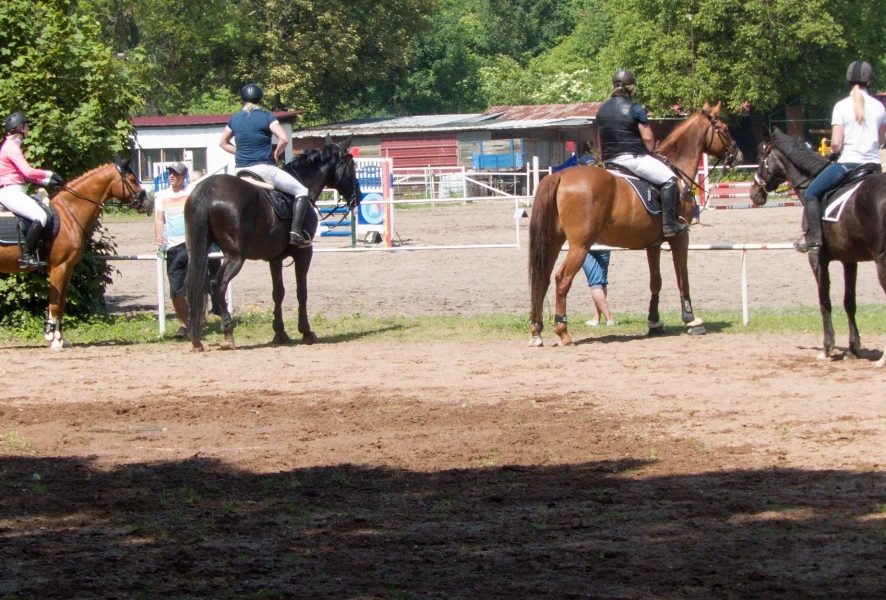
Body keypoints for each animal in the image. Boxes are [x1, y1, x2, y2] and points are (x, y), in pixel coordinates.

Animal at [0, 157, 149, 350]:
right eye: (131, 179)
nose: (148, 203)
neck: (68, 214)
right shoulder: (59, 267)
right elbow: (55, 303)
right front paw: (53, 338)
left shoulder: (68, 268)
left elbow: (61, 303)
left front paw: (61, 338)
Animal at [186, 136, 362, 352]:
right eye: (352, 165)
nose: (358, 196)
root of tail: (207, 190)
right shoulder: (304, 253)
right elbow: (301, 291)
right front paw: (306, 331)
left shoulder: (275, 258)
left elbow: (278, 292)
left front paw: (280, 332)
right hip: (235, 256)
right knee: (217, 285)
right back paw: (227, 331)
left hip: (198, 251)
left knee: (197, 287)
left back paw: (196, 338)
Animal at [528, 102, 744, 346]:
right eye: (724, 129)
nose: (738, 155)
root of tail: (560, 176)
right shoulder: (680, 237)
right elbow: (683, 278)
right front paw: (691, 320)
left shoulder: (654, 244)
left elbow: (656, 281)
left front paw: (654, 322)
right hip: (580, 245)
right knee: (562, 279)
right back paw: (563, 331)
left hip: (554, 241)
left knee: (542, 278)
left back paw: (536, 332)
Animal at [748, 127, 886, 366]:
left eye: (760, 157)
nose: (754, 193)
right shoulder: (850, 260)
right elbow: (849, 301)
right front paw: (853, 348)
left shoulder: (817, 257)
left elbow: (824, 300)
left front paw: (826, 348)